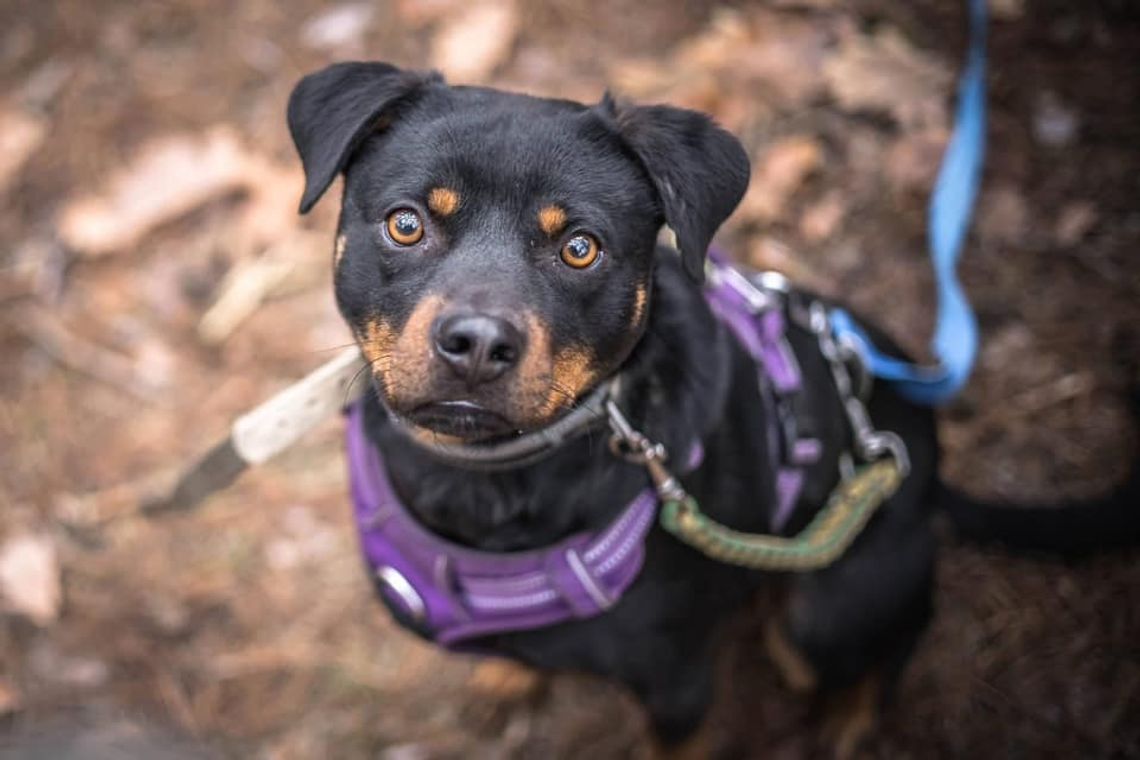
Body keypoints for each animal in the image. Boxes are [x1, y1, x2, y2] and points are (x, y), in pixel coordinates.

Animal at [282, 62, 1130, 752]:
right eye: (406, 223)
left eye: (580, 247)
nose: (479, 343)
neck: (491, 484)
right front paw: (509, 676)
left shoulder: (677, 686)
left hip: (825, 613)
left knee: (893, 641)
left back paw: (848, 725)